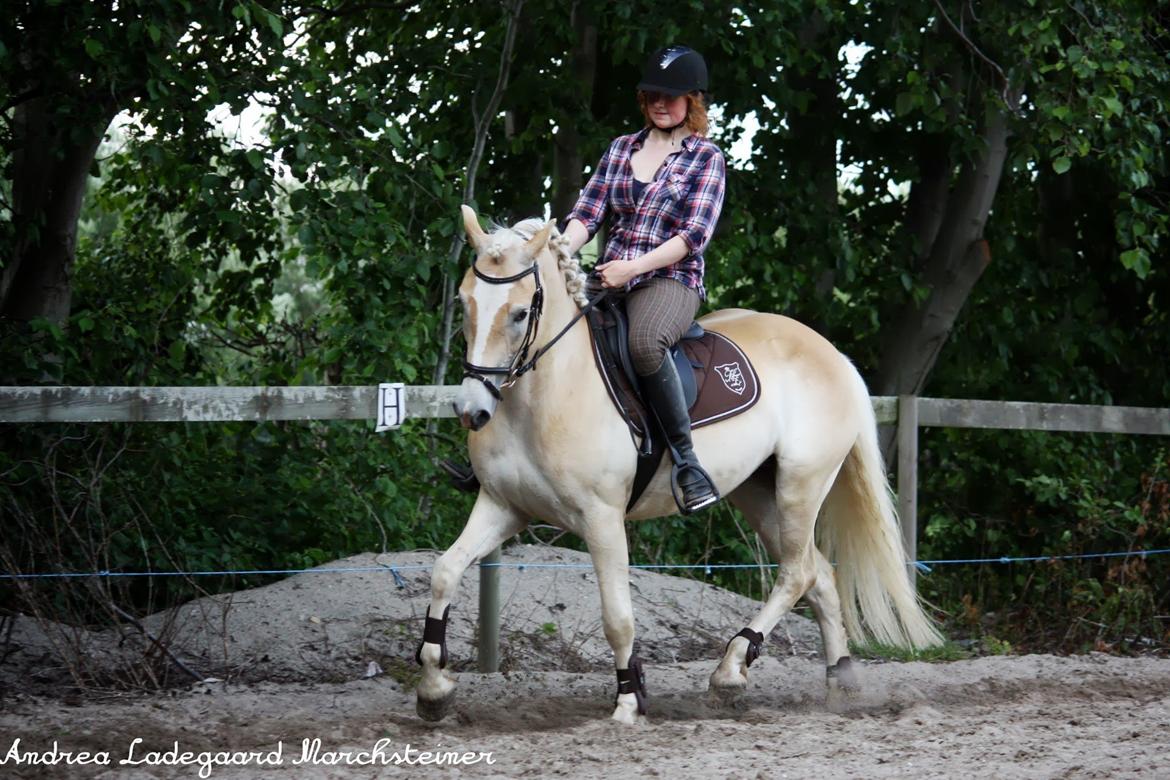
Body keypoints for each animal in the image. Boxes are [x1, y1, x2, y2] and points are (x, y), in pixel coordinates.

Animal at [416, 206, 945, 725]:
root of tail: (831, 353)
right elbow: (445, 570)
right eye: (464, 302)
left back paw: (731, 670)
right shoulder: (503, 506)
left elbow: (617, 617)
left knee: (797, 574)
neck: (543, 395)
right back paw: (839, 682)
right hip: (758, 493)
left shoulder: (602, 519)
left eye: (520, 312)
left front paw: (628, 702)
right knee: (821, 578)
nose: (471, 410)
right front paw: (435, 689)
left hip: (801, 485)